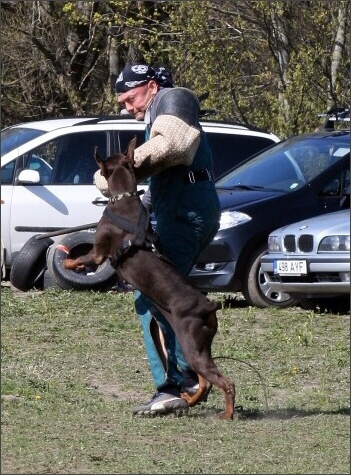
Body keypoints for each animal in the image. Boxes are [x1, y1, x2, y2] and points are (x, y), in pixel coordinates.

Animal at [63, 137, 236, 420]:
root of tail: (208, 305)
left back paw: (226, 414)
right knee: (205, 382)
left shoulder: (98, 253)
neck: (125, 200)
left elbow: (82, 259)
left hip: (192, 345)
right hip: (200, 346)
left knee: (224, 382)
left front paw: (66, 261)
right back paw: (188, 399)